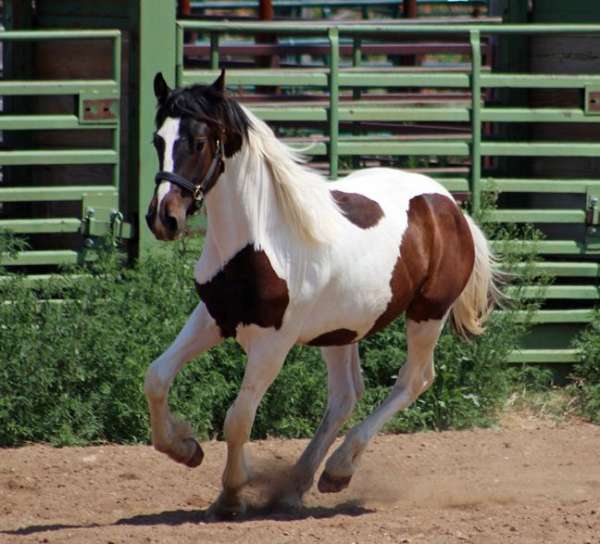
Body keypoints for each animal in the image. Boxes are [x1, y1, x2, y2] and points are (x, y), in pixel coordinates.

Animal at [143, 70, 500, 516]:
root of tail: (450, 206)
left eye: (198, 142)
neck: (260, 242)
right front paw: (185, 448)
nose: (163, 218)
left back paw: (339, 469)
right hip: (341, 331)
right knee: (345, 396)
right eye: (158, 140)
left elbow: (238, 417)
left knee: (414, 380)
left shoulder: (272, 343)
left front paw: (231, 494)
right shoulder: (212, 318)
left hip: (427, 315)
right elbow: (156, 377)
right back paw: (298, 483)